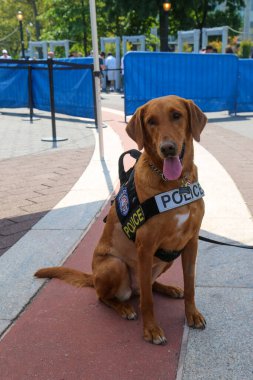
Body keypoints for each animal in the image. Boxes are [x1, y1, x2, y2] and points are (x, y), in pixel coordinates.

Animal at [35, 94, 207, 344]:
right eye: (151, 121)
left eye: (177, 115)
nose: (167, 149)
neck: (176, 183)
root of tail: (93, 277)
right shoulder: (145, 247)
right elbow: (147, 301)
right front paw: (151, 330)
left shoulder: (191, 242)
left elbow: (191, 284)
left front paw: (192, 314)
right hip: (115, 265)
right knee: (109, 296)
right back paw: (124, 308)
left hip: (168, 257)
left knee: (147, 286)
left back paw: (168, 288)